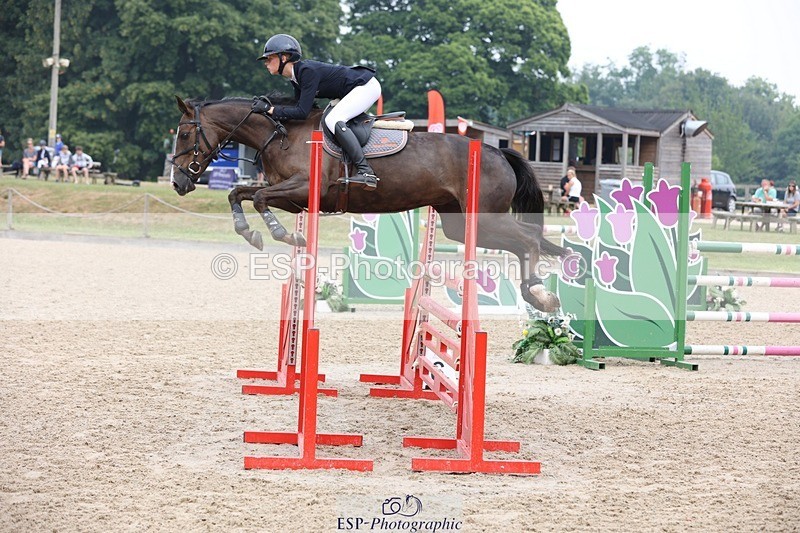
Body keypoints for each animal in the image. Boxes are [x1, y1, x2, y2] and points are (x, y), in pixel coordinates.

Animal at [170, 95, 567, 312]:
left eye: (185, 133)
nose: (177, 182)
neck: (281, 135)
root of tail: (497, 151)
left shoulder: (302, 189)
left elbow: (259, 198)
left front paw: (282, 234)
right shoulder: (293, 198)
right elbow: (239, 194)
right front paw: (249, 232)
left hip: (484, 217)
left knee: (528, 239)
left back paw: (539, 293)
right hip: (461, 224)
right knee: (520, 242)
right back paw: (538, 293)